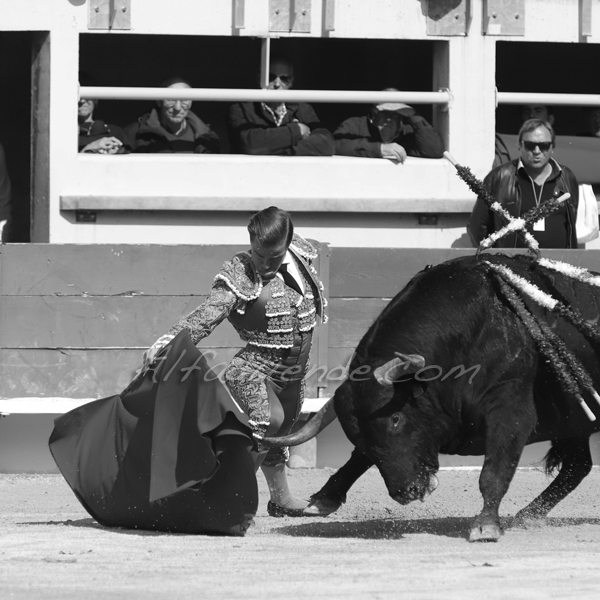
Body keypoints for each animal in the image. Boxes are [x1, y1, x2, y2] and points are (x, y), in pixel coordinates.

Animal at [264, 253, 600, 544]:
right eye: (355, 434)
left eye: (396, 419)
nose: (406, 492)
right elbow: (357, 459)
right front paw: (323, 499)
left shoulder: (510, 410)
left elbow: (494, 470)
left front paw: (486, 526)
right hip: (573, 427)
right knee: (577, 466)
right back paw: (528, 515)